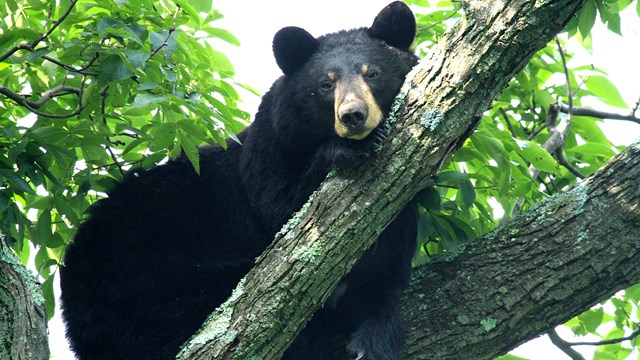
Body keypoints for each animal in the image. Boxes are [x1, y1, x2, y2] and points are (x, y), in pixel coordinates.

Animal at [60, 1, 420, 358]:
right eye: (325, 84)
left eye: (372, 73)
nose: (352, 116)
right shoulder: (266, 154)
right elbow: (282, 214)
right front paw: (344, 150)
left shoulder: (400, 206)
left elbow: (384, 273)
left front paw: (375, 336)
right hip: (151, 285)